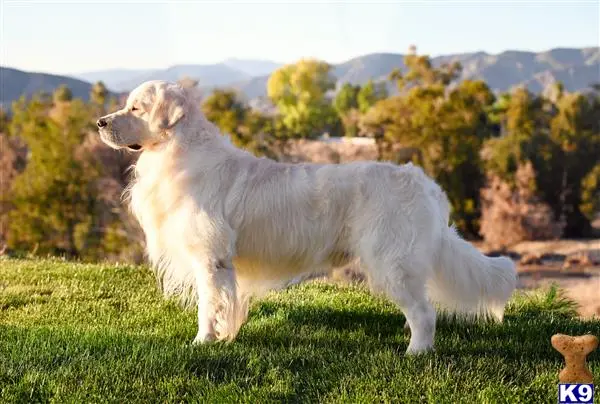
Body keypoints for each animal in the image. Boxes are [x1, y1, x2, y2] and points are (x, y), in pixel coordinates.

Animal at [97, 79, 516, 354]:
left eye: (136, 108)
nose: (99, 123)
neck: (178, 151)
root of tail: (426, 184)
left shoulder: (209, 258)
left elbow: (208, 306)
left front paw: (203, 343)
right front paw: (224, 337)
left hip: (391, 261)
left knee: (425, 313)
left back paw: (415, 352)